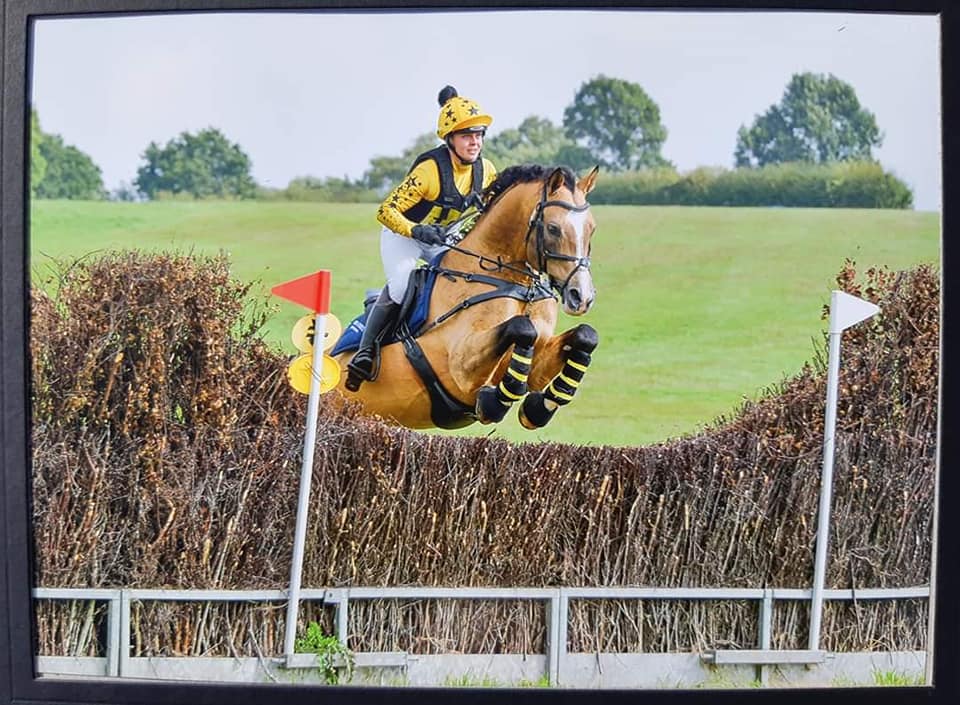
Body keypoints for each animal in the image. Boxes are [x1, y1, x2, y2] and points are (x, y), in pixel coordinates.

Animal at [334, 164, 596, 428]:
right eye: (553, 228)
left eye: (591, 229)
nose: (581, 297)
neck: (514, 284)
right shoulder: (461, 368)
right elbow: (522, 328)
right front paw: (494, 403)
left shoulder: (538, 362)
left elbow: (586, 335)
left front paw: (538, 408)